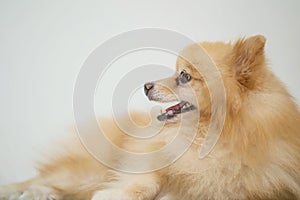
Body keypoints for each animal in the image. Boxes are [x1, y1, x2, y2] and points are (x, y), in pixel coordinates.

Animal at [0, 35, 300, 199]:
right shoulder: (151, 158)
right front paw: (114, 194)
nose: (145, 86)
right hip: (88, 170)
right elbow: (148, 180)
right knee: (41, 178)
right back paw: (23, 190)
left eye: (185, 76)